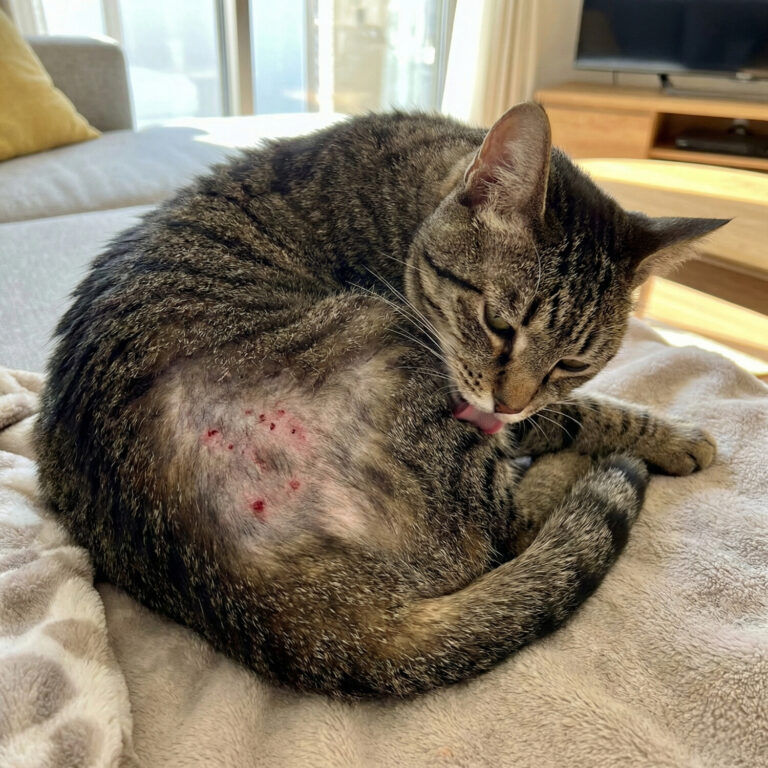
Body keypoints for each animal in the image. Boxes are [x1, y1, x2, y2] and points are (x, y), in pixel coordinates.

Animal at [35, 103, 725, 698]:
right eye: (498, 326)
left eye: (573, 362)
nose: (507, 405)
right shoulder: (472, 396)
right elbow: (582, 415)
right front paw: (679, 438)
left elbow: (572, 406)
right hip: (386, 338)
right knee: (515, 525)